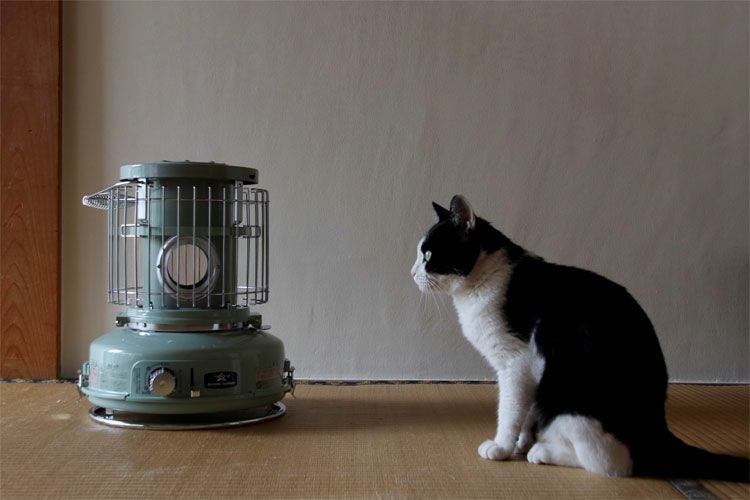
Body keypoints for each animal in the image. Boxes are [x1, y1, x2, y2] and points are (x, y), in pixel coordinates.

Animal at [411, 194, 749, 482]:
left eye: (428, 254)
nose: (412, 273)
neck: (483, 280)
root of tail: (658, 427)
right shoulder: (529, 374)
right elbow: (526, 411)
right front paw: (520, 442)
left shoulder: (515, 363)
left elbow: (509, 410)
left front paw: (503, 447)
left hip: (568, 397)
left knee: (611, 463)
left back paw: (543, 452)